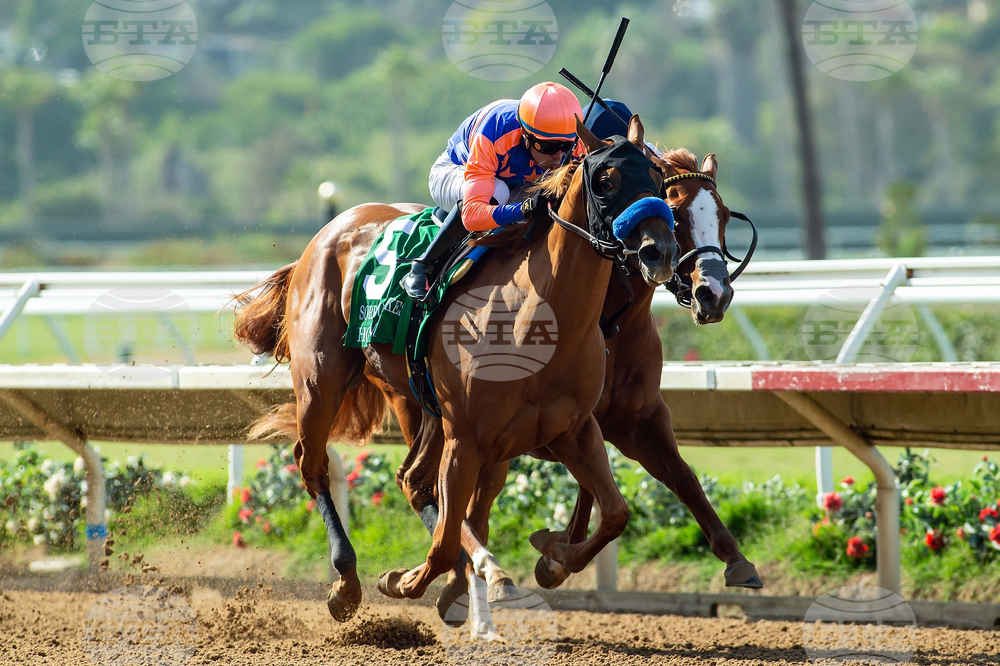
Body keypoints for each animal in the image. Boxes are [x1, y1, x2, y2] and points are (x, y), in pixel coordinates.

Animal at [232, 115, 679, 621]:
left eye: (660, 181)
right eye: (606, 181)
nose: (660, 252)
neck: (538, 320)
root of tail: (330, 229)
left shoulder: (572, 429)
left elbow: (617, 513)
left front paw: (552, 556)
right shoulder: (467, 437)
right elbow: (445, 540)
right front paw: (405, 580)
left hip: (421, 402)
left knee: (412, 479)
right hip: (320, 382)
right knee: (314, 464)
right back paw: (347, 581)